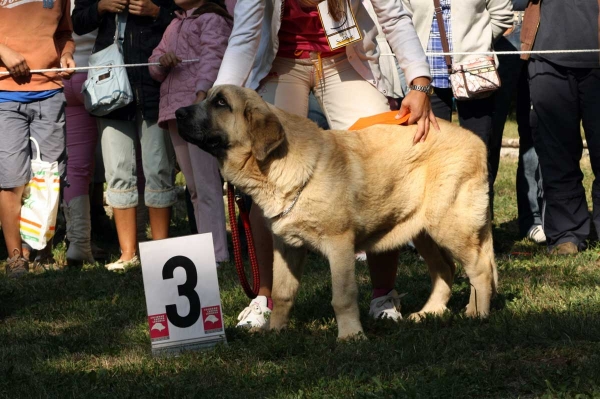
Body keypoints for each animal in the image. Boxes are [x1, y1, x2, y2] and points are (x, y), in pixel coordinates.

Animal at [176, 85, 500, 340]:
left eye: (221, 103)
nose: (178, 112)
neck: (276, 166)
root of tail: (476, 141)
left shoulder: (339, 244)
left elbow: (342, 297)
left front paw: (350, 336)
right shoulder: (287, 246)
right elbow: (282, 292)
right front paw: (275, 331)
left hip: (450, 225)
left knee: (480, 268)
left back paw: (477, 315)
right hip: (422, 230)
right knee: (446, 270)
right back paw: (430, 313)